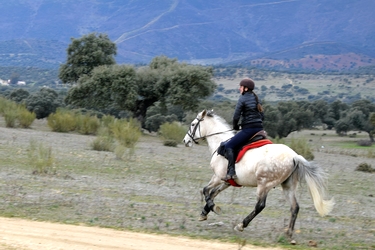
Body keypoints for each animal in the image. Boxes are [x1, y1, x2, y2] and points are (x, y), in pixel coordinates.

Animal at [184, 110, 334, 238]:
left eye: (193, 124)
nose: (186, 141)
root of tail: (294, 156)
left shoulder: (218, 177)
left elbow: (205, 191)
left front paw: (214, 208)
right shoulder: (227, 182)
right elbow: (212, 193)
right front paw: (204, 213)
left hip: (264, 185)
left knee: (260, 206)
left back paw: (241, 225)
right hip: (288, 186)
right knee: (295, 207)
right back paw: (289, 233)